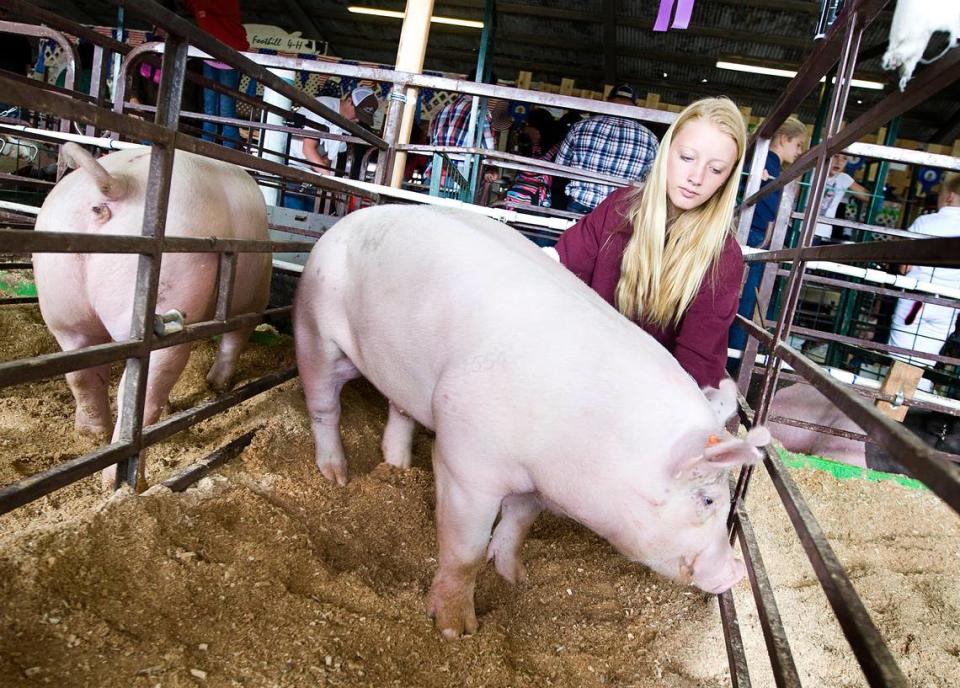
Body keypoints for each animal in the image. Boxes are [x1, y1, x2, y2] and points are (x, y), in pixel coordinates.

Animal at [33, 142, 272, 482]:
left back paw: (92, 435)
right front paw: (217, 386)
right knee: (140, 392)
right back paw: (129, 480)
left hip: (61, 305)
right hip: (165, 300)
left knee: (81, 375)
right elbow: (234, 340)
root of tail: (117, 184)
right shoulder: (254, 301)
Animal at [294, 204, 772, 640]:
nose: (735, 572)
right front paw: (455, 631)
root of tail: (347, 220)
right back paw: (335, 475)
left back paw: (396, 467)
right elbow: (465, 551)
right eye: (708, 500)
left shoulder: (538, 484)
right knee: (324, 404)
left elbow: (519, 524)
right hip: (314, 327)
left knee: (400, 411)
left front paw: (515, 580)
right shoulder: (466, 462)